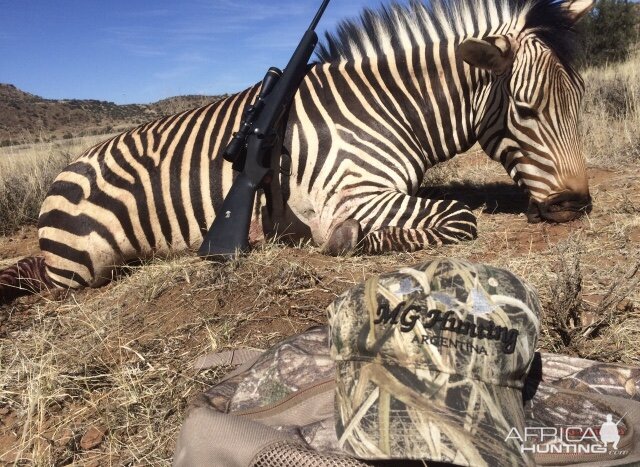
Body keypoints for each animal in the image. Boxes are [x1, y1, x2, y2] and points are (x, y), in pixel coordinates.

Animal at [0, 0, 592, 304]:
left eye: (580, 99)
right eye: (526, 109)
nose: (578, 205)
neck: (387, 107)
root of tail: (58, 178)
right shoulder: (355, 194)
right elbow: (460, 219)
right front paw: (348, 241)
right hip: (84, 268)